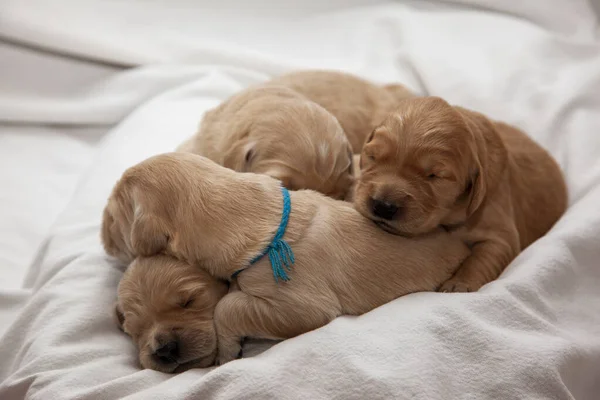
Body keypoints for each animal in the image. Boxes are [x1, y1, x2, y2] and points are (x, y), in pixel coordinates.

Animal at [102, 152, 468, 366]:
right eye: (132, 329)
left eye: (114, 216)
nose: (103, 241)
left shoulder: (303, 305)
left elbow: (228, 306)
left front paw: (228, 351)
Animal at [354, 95, 568, 292]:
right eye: (372, 156)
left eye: (434, 176)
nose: (383, 206)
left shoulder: (499, 230)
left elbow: (483, 257)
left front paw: (459, 284)